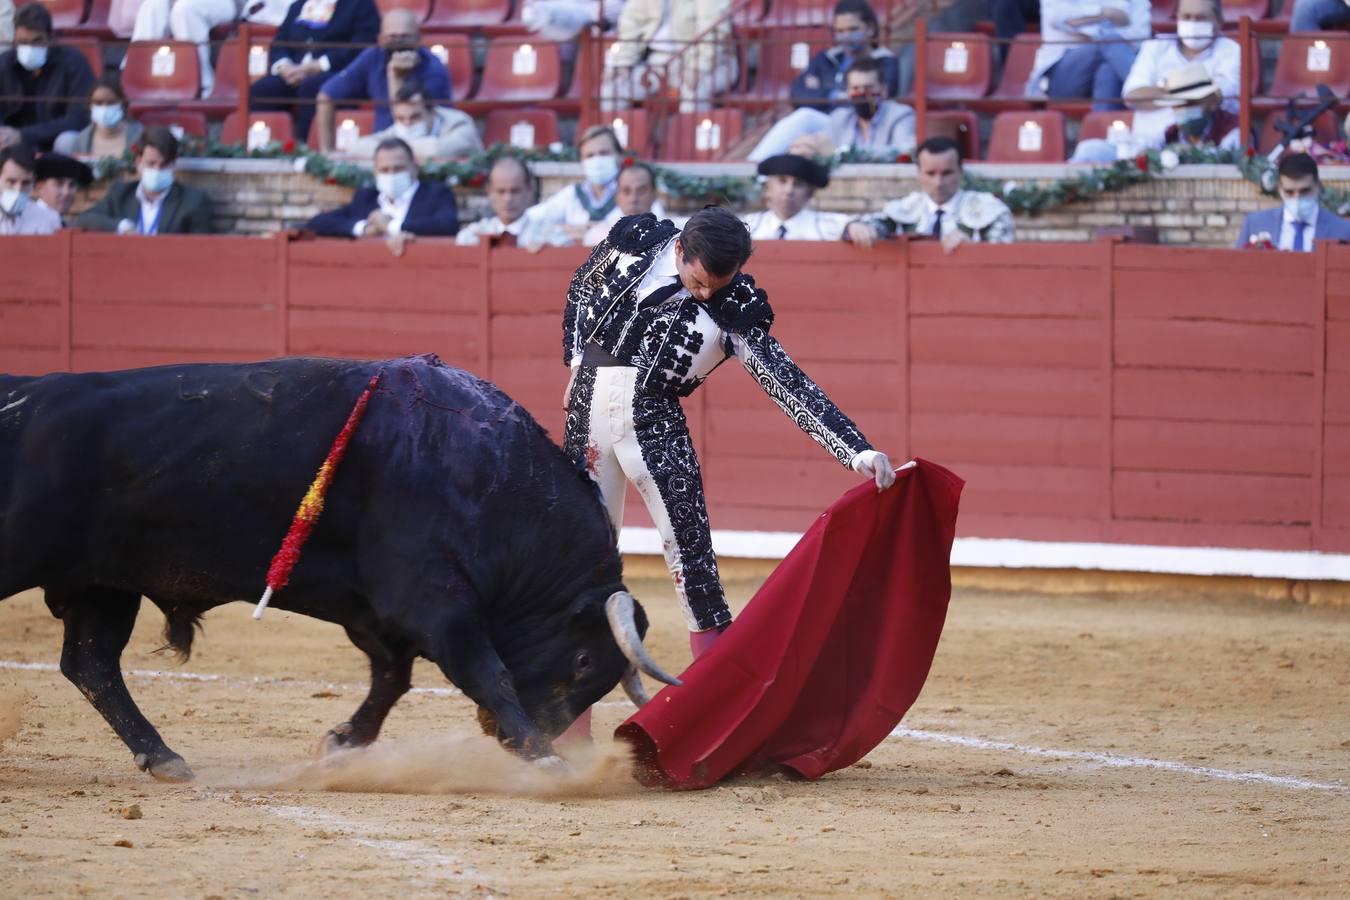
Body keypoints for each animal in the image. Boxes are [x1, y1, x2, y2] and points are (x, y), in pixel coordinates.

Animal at [0, 356, 675, 777]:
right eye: (584, 660)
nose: (499, 731)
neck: (489, 473)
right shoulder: (432, 599)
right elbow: (485, 670)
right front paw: (543, 756)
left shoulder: (376, 609)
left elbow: (393, 677)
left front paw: (343, 742)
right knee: (91, 664)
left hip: (103, 584)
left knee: (91, 664)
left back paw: (163, 757)